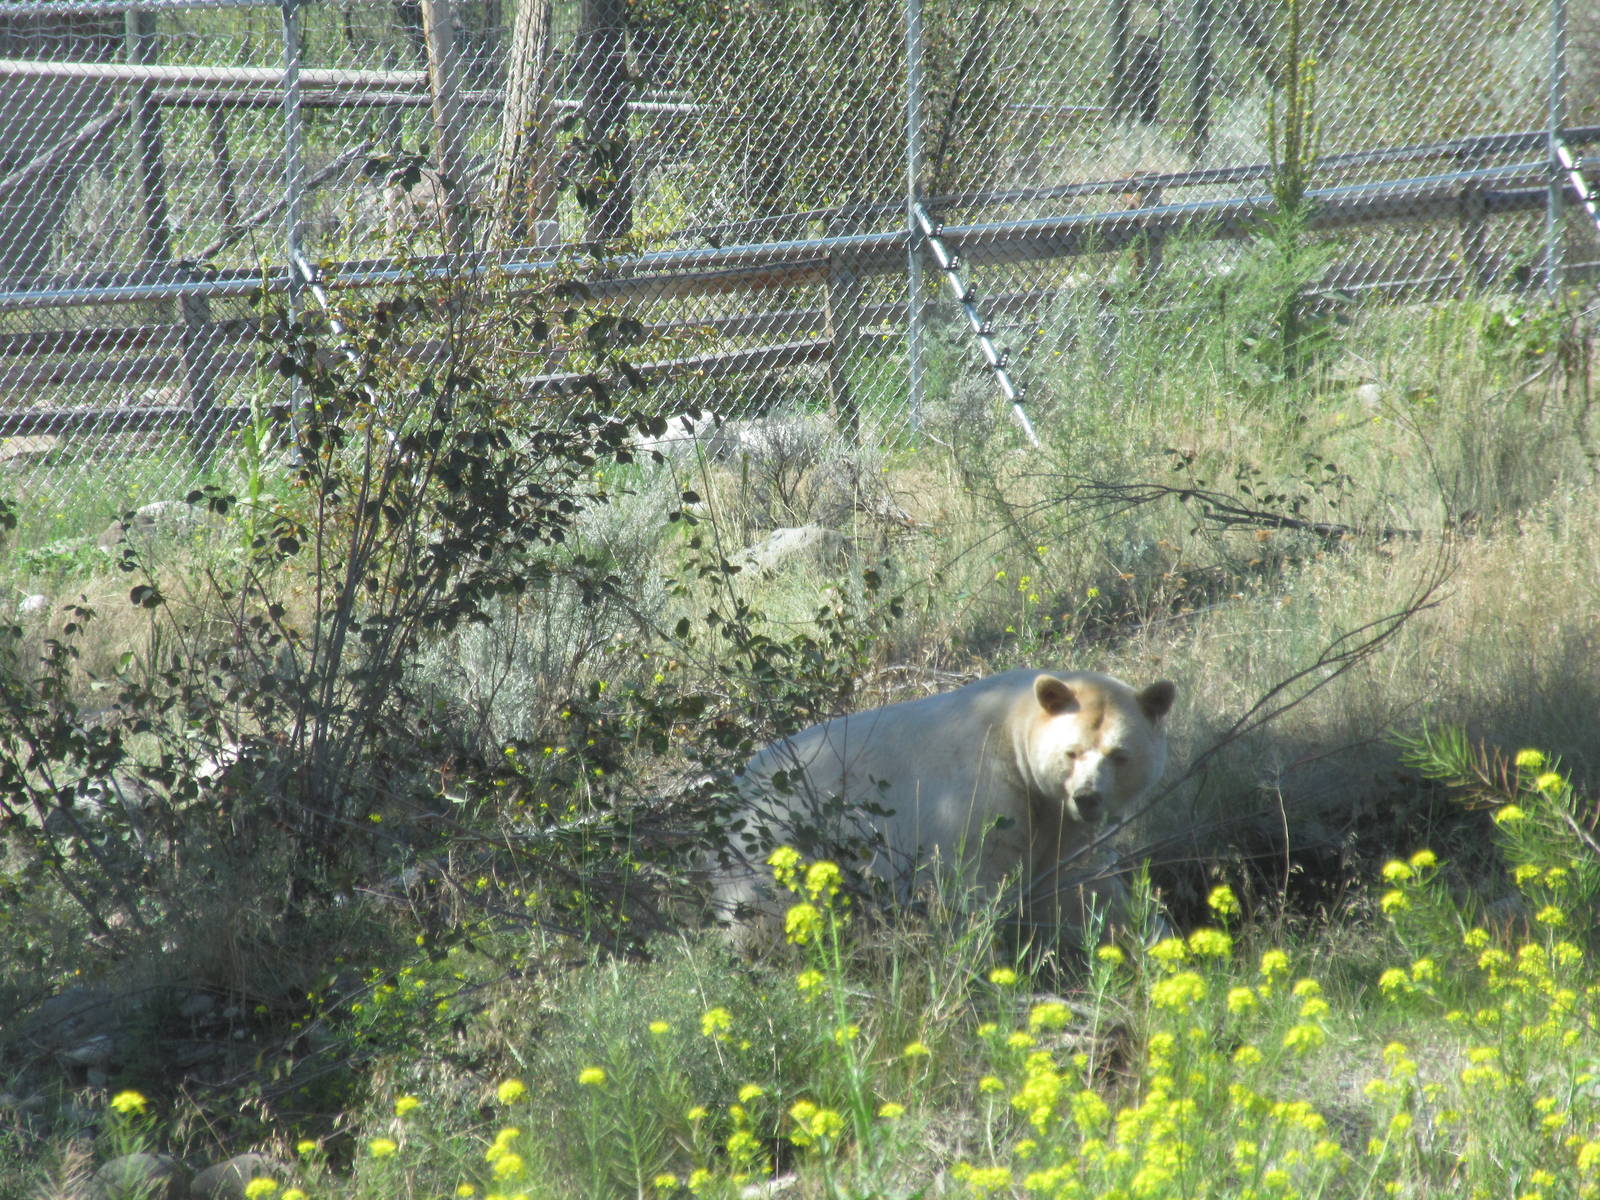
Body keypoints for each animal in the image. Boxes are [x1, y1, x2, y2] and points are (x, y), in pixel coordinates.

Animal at [713, 668, 1176, 947]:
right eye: (1072, 752)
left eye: (1119, 755)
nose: (1088, 796)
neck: (1014, 734)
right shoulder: (980, 797)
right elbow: (973, 885)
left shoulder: (1057, 819)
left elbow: (1083, 887)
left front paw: (1155, 939)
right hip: (778, 841)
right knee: (760, 916)